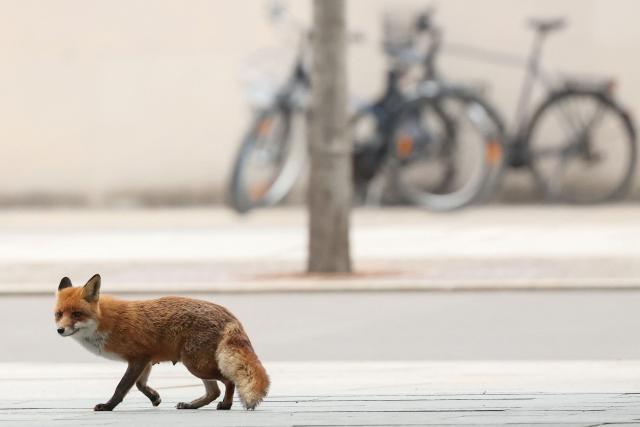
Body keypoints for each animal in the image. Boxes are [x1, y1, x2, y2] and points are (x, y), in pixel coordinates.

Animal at [54, 274, 269, 412]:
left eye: (76, 314)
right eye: (59, 314)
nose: (60, 330)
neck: (106, 321)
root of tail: (227, 312)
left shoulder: (138, 357)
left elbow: (122, 387)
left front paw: (108, 406)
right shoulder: (146, 359)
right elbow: (140, 385)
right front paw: (154, 397)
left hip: (196, 365)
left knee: (229, 381)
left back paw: (226, 405)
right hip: (197, 365)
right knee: (214, 391)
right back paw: (192, 405)